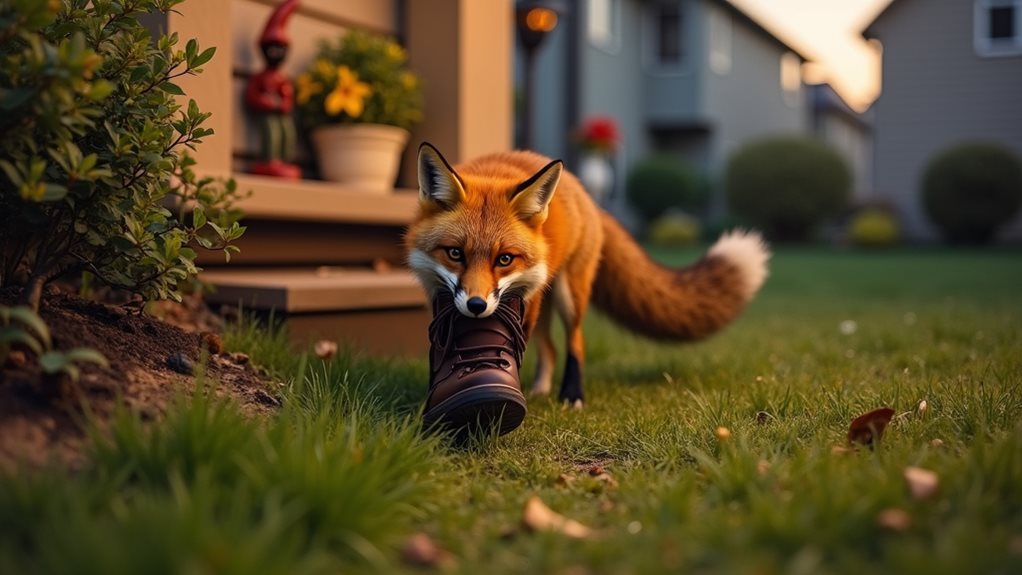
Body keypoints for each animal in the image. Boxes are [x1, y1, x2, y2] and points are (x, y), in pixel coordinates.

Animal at [406, 142, 770, 407]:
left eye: (504, 259)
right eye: (455, 254)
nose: (477, 306)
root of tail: (588, 197)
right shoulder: (438, 296)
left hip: (569, 296)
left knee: (575, 343)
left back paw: (571, 395)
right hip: (542, 303)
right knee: (550, 350)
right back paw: (540, 390)